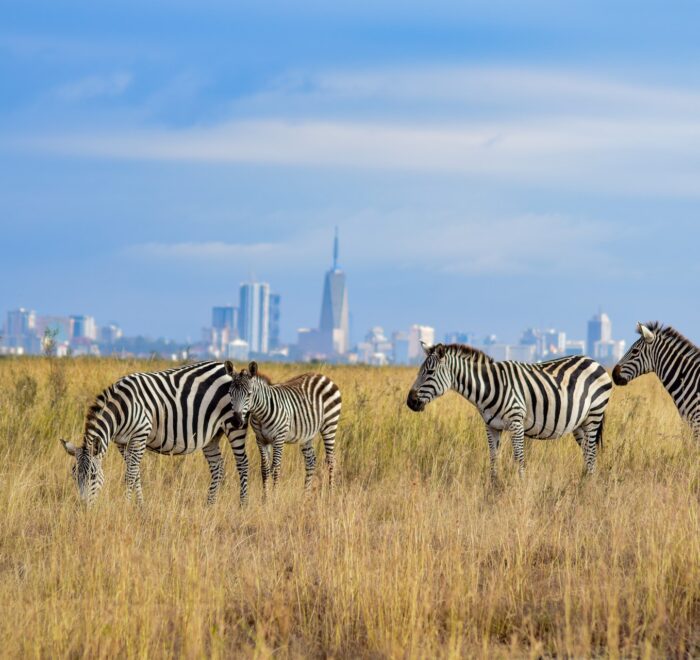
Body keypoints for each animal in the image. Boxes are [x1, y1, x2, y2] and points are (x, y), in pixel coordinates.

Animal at [60, 361, 249, 505]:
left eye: (93, 476)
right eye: (73, 476)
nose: (83, 506)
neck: (121, 408)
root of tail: (224, 367)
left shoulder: (140, 435)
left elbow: (130, 474)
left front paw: (126, 505)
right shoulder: (122, 442)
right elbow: (135, 474)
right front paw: (140, 506)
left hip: (234, 425)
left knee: (243, 464)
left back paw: (243, 505)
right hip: (212, 435)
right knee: (218, 466)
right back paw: (209, 505)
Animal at [225, 360, 341, 495]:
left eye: (249, 394)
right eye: (230, 393)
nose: (236, 422)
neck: (260, 414)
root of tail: (322, 376)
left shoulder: (279, 438)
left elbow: (276, 468)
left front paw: (274, 496)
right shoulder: (261, 439)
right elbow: (264, 469)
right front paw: (265, 497)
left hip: (330, 425)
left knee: (331, 460)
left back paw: (331, 493)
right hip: (307, 434)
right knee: (310, 461)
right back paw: (306, 494)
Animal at [406, 343, 613, 477]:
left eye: (430, 372)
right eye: (419, 371)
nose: (410, 402)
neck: (488, 387)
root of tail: (594, 361)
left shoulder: (516, 423)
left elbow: (519, 459)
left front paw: (520, 488)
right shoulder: (491, 426)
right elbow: (493, 459)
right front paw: (493, 489)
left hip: (594, 415)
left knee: (591, 454)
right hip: (580, 424)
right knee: (588, 455)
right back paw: (584, 484)